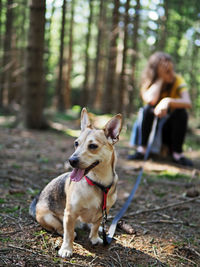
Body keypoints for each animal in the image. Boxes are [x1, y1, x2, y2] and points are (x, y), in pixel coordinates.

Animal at [29, 108, 122, 258]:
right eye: (76, 143)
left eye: (93, 146)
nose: (71, 160)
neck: (98, 183)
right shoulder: (70, 213)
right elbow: (68, 235)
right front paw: (66, 249)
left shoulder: (103, 212)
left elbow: (96, 226)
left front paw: (94, 237)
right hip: (48, 217)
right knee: (61, 228)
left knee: (91, 224)